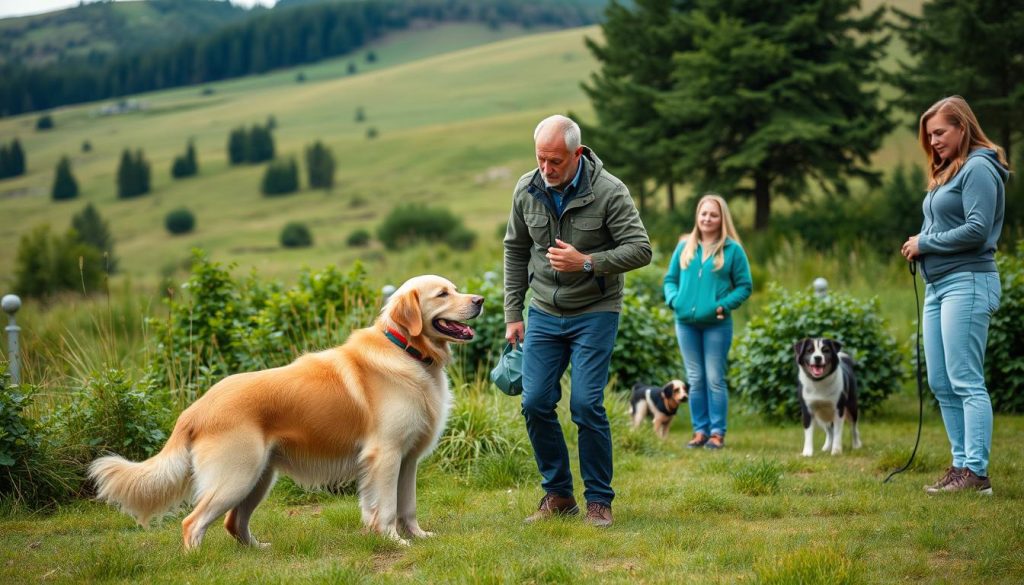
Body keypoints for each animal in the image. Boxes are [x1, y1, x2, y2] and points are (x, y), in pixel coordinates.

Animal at [87, 274, 483, 549]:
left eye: (455, 288)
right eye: (442, 294)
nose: (479, 300)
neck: (408, 352)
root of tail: (195, 409)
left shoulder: (407, 460)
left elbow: (407, 506)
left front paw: (418, 536)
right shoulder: (384, 455)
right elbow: (385, 508)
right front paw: (393, 541)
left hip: (259, 478)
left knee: (233, 523)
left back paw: (257, 550)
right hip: (237, 477)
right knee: (193, 523)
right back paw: (197, 561)